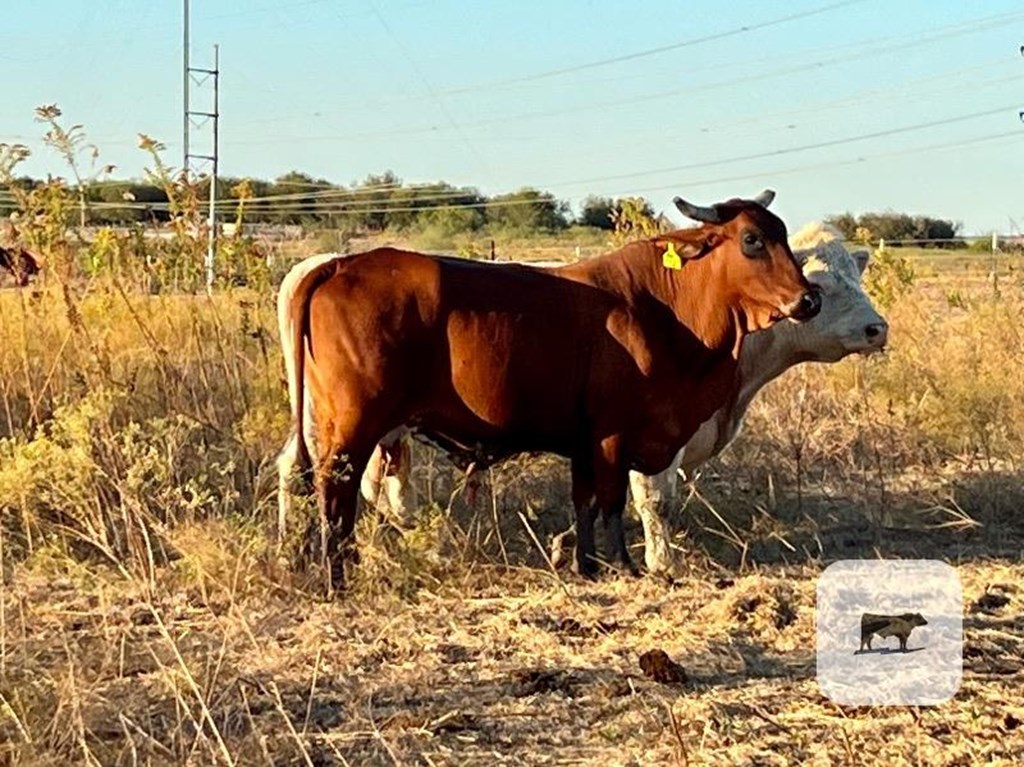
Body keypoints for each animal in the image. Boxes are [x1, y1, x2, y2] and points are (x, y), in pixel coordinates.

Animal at [274, 224, 888, 573]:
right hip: (353, 420)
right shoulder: (650, 432)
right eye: (822, 283)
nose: (876, 328)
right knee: (347, 484)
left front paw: (569, 546)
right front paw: (661, 562)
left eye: (856, 277)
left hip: (336, 421)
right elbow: (652, 500)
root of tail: (334, 263)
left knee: (317, 475)